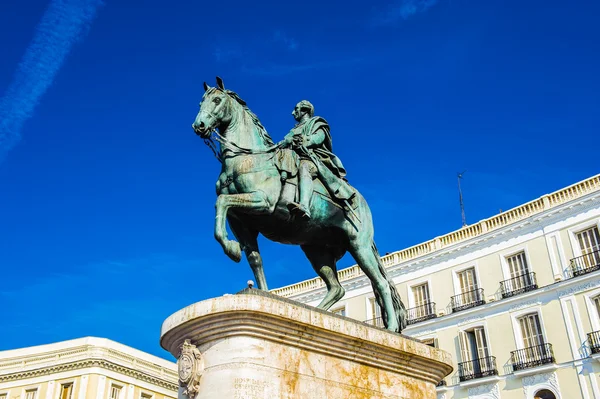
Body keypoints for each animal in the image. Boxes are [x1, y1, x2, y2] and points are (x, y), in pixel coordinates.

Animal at [192, 76, 408, 332]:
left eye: (217, 100)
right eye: (200, 103)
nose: (199, 126)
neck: (247, 158)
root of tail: (361, 202)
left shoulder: (262, 202)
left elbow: (221, 201)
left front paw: (232, 249)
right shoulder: (240, 221)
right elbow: (253, 256)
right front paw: (257, 283)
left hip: (359, 244)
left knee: (381, 282)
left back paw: (391, 328)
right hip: (316, 250)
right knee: (337, 288)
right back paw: (316, 313)